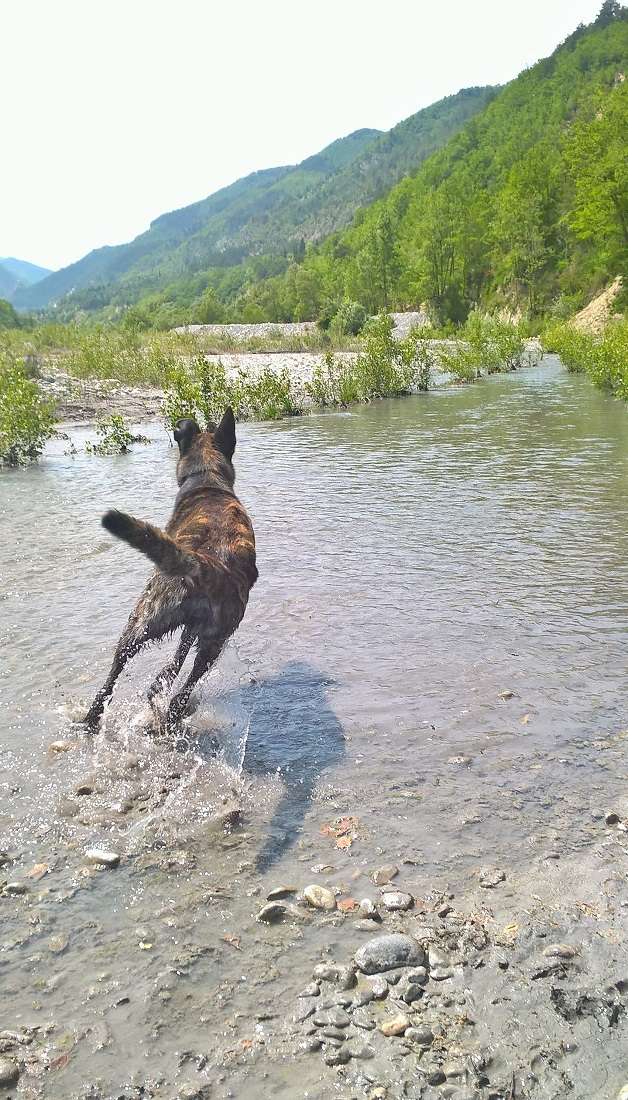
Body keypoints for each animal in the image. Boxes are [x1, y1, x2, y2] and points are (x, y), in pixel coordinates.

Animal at [83, 409, 258, 726]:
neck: (207, 478)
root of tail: (207, 563)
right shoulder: (195, 626)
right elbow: (179, 656)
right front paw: (163, 681)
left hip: (144, 616)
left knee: (118, 668)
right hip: (207, 639)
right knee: (180, 688)